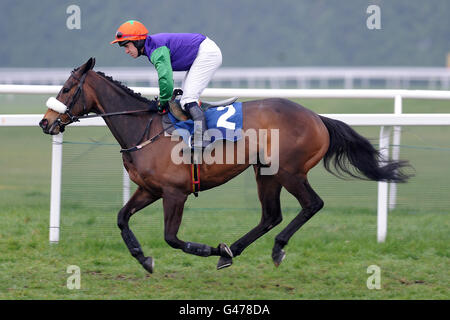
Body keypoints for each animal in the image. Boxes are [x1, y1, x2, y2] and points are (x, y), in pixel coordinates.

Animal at [39, 57, 412, 272]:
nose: (45, 123)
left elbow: (172, 238)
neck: (144, 128)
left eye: (68, 88)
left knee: (311, 204)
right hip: (265, 172)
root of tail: (317, 117)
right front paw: (143, 258)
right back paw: (231, 251)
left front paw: (206, 248)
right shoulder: (149, 190)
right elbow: (121, 218)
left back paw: (272, 249)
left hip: (289, 171)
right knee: (270, 216)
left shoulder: (175, 193)